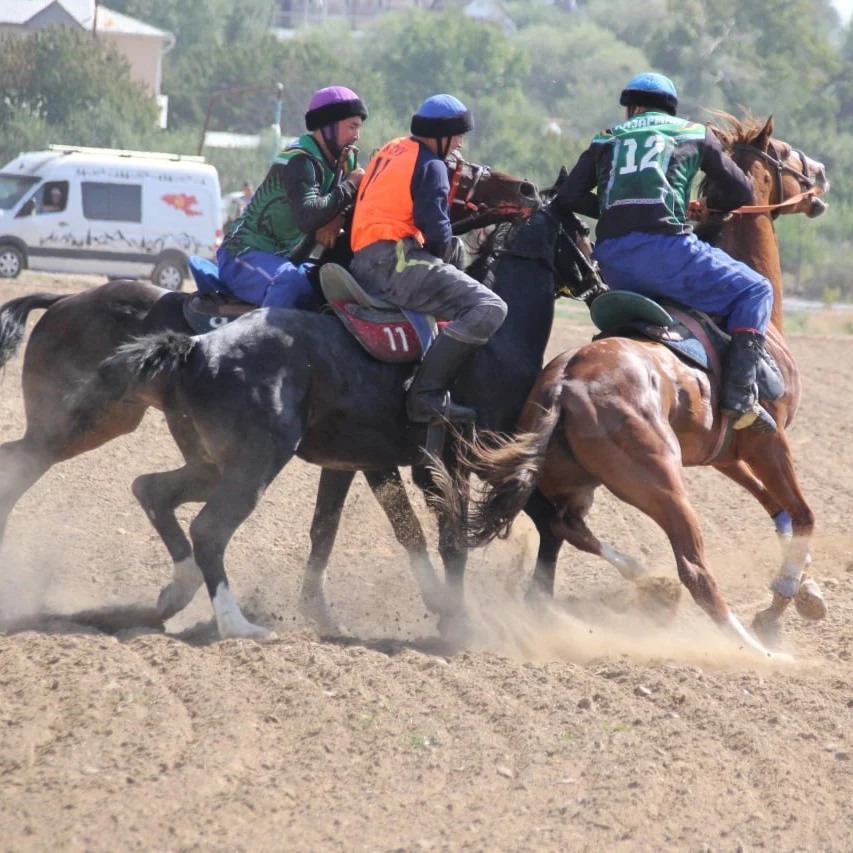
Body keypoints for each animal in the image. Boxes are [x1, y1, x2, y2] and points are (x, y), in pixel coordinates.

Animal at [57, 201, 596, 640]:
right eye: (583, 230)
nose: (599, 280)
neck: (494, 341)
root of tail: (196, 348)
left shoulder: (362, 462)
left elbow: (343, 530)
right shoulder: (455, 460)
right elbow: (452, 538)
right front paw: (460, 619)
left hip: (212, 462)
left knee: (152, 490)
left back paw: (174, 593)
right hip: (255, 463)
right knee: (209, 530)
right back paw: (237, 625)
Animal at [429, 116, 830, 659]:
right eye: (786, 154)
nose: (821, 175)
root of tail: (566, 379)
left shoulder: (726, 453)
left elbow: (779, 511)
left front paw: (805, 590)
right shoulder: (769, 440)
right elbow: (802, 515)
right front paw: (781, 604)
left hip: (576, 478)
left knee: (564, 525)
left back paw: (646, 587)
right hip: (662, 482)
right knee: (693, 568)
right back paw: (757, 652)